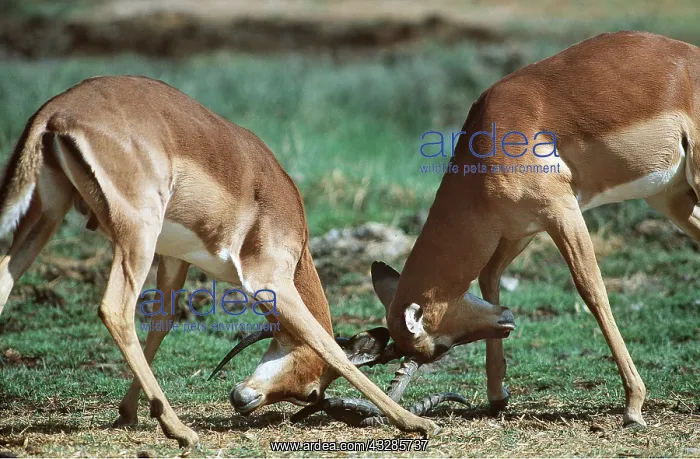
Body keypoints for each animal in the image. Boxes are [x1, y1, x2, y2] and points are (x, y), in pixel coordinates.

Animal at [0, 75, 444, 447]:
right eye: (312, 392)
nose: (243, 400)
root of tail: (56, 111)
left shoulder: (174, 257)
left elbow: (163, 323)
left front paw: (127, 414)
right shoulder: (270, 280)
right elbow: (323, 341)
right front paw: (416, 422)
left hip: (48, 216)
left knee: (5, 279)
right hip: (135, 235)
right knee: (115, 309)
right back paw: (180, 430)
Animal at [371, 30, 700, 428]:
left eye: (441, 346)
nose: (506, 319)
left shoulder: (561, 212)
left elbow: (591, 289)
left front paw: (633, 406)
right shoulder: (521, 229)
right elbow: (488, 275)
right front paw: (497, 396)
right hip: (671, 199)